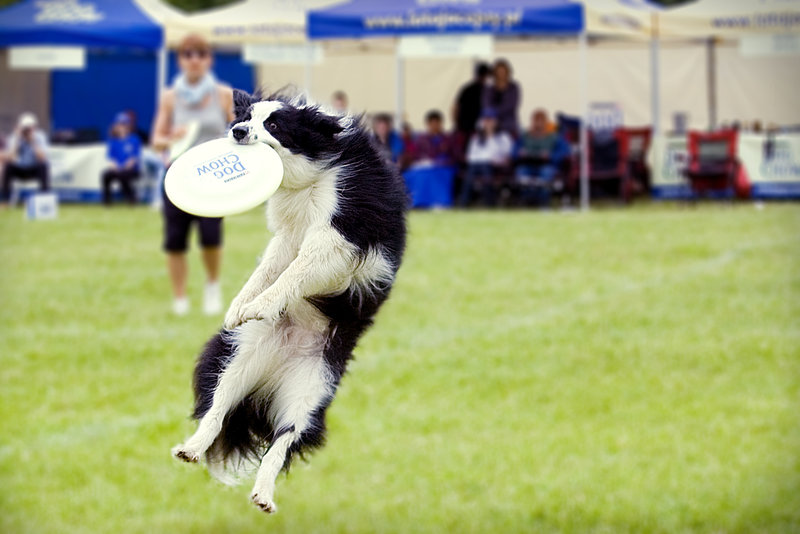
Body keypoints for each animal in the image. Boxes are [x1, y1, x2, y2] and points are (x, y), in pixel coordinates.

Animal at [170, 91, 406, 516]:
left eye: (275, 125)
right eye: (247, 117)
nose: (237, 131)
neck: (307, 178)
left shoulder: (339, 232)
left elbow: (296, 270)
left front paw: (260, 305)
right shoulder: (288, 236)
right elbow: (269, 268)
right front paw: (240, 307)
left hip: (311, 388)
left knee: (282, 440)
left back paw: (263, 495)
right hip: (241, 360)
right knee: (219, 408)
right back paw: (191, 449)